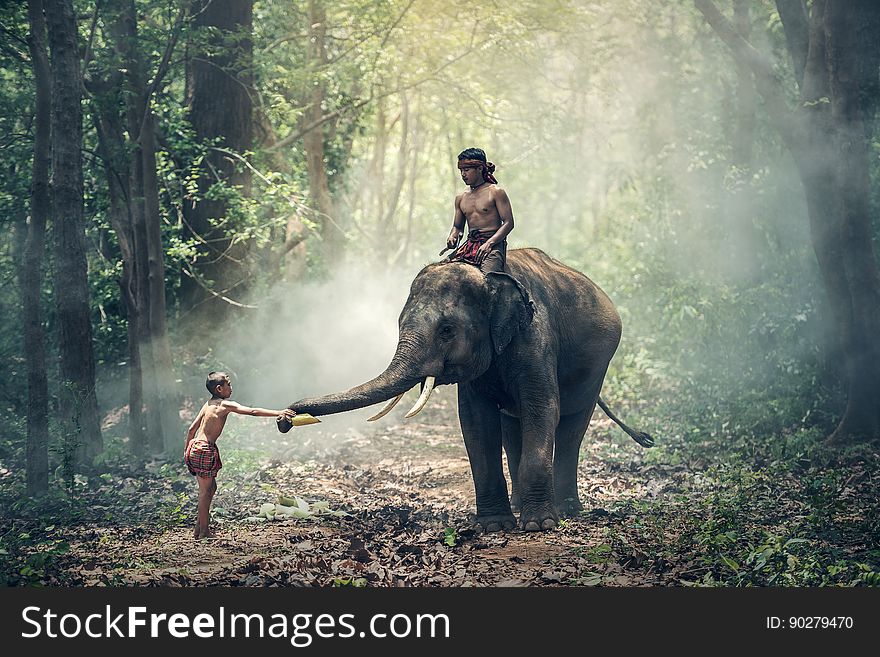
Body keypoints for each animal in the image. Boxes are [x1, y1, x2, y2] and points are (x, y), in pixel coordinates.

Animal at [276, 249, 652, 532]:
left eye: (446, 330)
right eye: (399, 324)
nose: (286, 418)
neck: (489, 278)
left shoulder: (536, 338)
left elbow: (543, 408)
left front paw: (538, 526)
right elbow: (475, 421)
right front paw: (496, 526)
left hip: (599, 366)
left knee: (572, 425)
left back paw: (568, 510)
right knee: (512, 427)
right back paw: (521, 505)